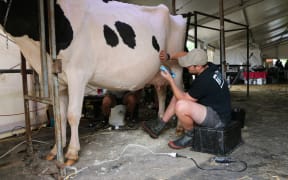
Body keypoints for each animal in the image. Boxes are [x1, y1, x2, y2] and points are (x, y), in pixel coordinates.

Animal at [0, 0, 187, 165]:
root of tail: (175, 15)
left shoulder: (77, 73)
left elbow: (72, 114)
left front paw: (72, 152)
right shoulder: (59, 81)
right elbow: (60, 116)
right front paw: (55, 150)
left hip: (176, 66)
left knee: (180, 92)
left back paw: (179, 127)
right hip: (160, 71)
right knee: (161, 91)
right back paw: (160, 119)